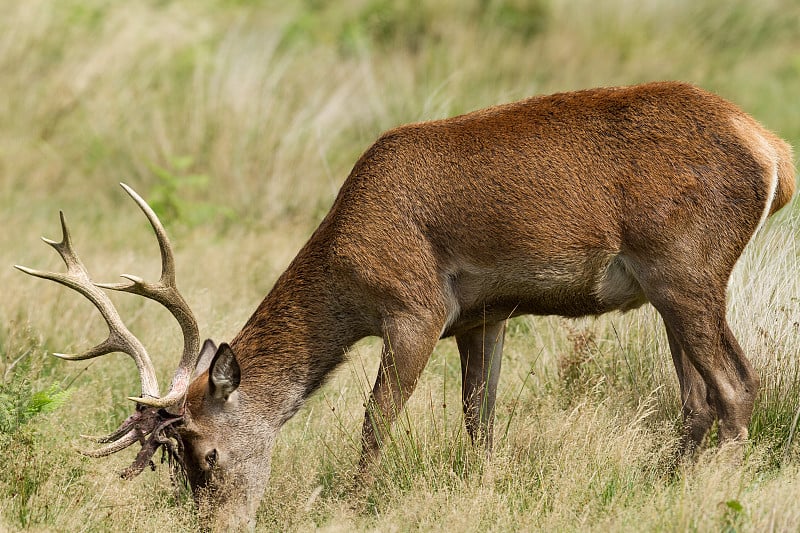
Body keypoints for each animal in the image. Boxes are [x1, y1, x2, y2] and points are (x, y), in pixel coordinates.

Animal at [17, 81, 792, 528]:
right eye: (176, 461)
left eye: (204, 453)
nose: (216, 523)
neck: (345, 266)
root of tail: (773, 150)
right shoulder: (486, 314)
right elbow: (480, 420)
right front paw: (483, 488)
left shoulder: (417, 307)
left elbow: (374, 418)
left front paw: (350, 505)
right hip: (664, 290)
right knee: (697, 397)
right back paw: (662, 484)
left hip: (688, 266)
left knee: (737, 384)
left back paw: (716, 495)